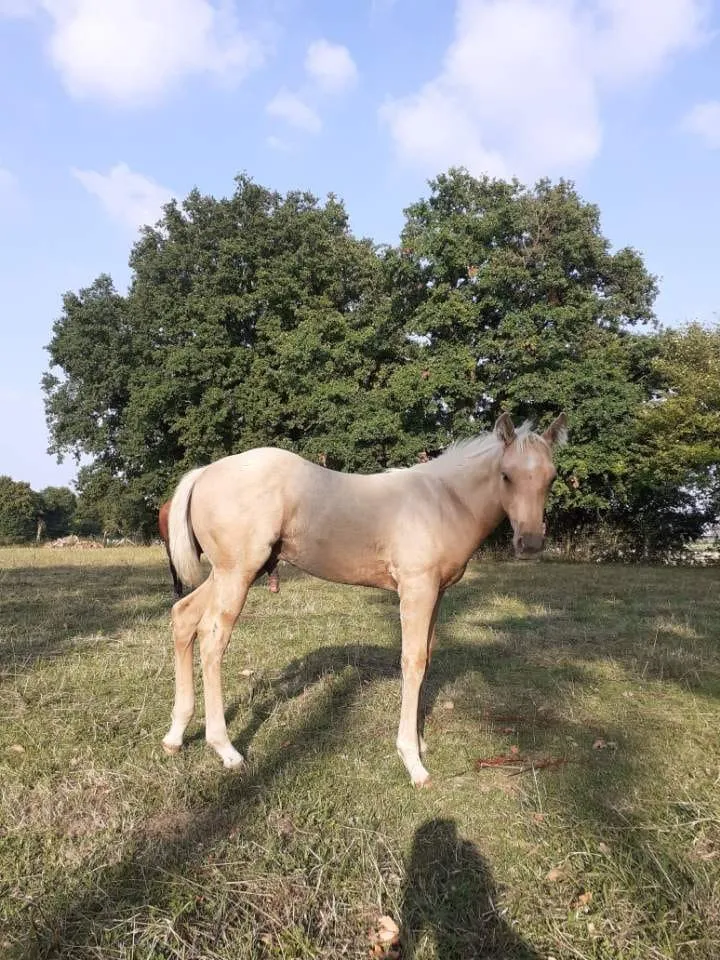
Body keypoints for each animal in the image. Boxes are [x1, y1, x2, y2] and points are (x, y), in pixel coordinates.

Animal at [162, 412, 567, 786]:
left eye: (551, 477)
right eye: (506, 475)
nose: (531, 544)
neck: (443, 502)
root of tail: (204, 472)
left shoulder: (437, 593)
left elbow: (427, 657)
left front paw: (419, 742)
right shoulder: (416, 590)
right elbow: (413, 662)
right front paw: (413, 761)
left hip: (227, 573)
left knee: (184, 616)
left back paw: (176, 735)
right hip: (237, 574)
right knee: (212, 640)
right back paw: (226, 750)